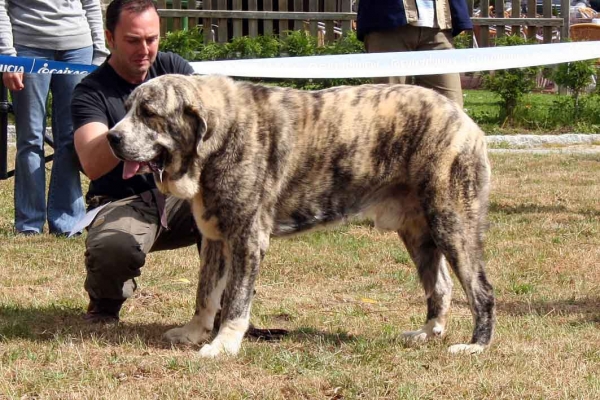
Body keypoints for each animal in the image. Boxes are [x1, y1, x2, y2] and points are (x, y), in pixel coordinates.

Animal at [108, 73, 496, 358]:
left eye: (149, 112)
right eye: (128, 108)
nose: (111, 137)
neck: (221, 135)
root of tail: (464, 119)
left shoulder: (247, 239)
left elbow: (235, 300)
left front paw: (223, 345)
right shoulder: (217, 239)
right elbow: (205, 293)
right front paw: (193, 333)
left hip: (452, 223)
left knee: (481, 290)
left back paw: (476, 345)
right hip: (418, 233)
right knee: (441, 286)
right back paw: (427, 333)